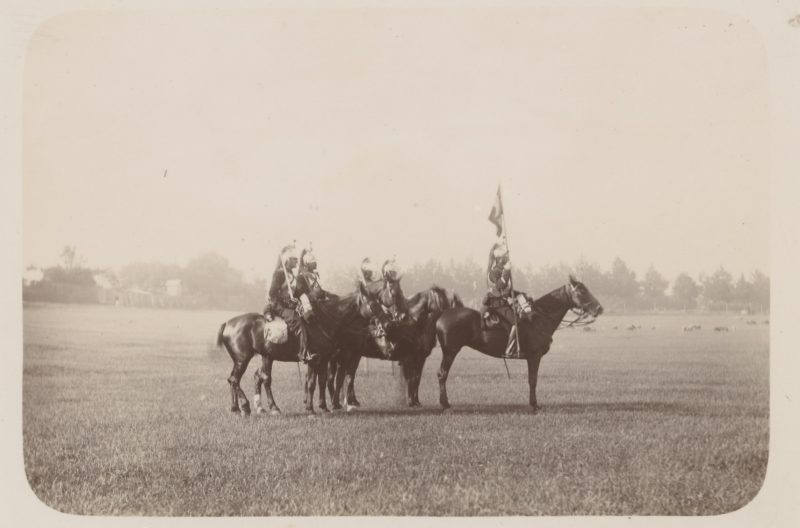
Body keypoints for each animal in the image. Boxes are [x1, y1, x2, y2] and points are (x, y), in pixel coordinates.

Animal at [217, 276, 396, 416]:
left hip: (262, 357)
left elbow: (321, 381)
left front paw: (323, 406)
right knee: (236, 379)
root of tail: (228, 323)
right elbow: (313, 383)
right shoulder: (316, 359)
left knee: (254, 378)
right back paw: (249, 406)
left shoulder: (324, 360)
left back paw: (242, 408)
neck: (327, 320)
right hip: (243, 359)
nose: (388, 323)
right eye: (373, 304)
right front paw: (312, 409)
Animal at [324, 282, 462, 410]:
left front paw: (416, 402)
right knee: (342, 377)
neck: (414, 325)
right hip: (347, 354)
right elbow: (410, 380)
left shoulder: (420, 359)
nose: (452, 318)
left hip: (353, 355)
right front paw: (411, 402)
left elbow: (417, 380)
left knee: (347, 377)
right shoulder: (408, 359)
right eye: (443, 301)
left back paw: (351, 401)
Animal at [438, 276, 600, 412]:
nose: (599, 308)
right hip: (450, 352)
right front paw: (534, 405)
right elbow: (533, 380)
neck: (538, 318)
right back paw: (445, 404)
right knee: (442, 374)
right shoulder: (534, 357)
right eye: (582, 291)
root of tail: (442, 314)